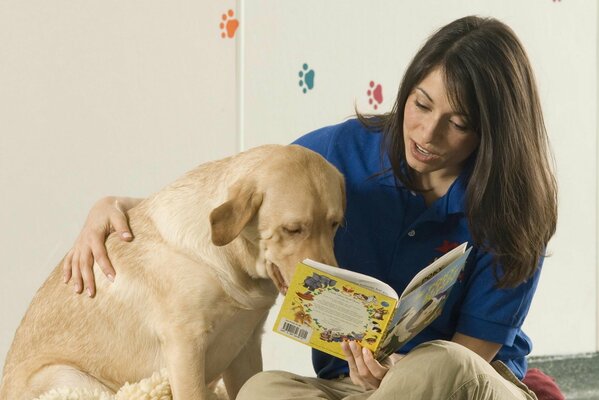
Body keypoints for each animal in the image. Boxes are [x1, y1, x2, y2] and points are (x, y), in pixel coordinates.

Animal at [0, 145, 344, 400]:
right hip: (71, 377)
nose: (328, 279)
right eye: (293, 229)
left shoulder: (245, 346)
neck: (232, 263)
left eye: (335, 223)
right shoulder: (185, 346)